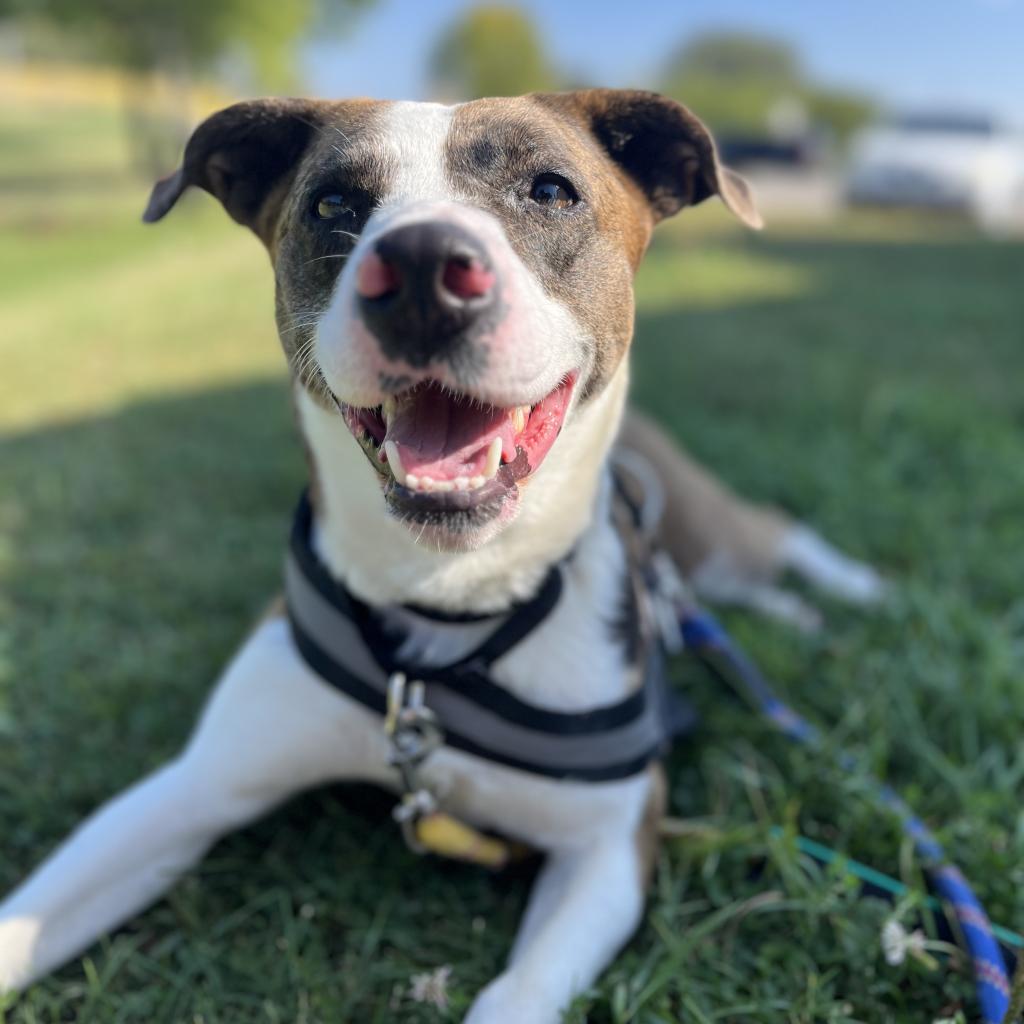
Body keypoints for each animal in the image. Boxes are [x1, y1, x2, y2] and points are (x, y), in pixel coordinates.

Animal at [0, 90, 880, 1024]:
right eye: (334, 203)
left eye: (551, 189)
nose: (423, 265)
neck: (450, 595)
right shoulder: (192, 787)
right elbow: (27, 918)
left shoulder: (611, 843)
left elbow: (518, 992)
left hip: (708, 528)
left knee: (777, 532)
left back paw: (857, 591)